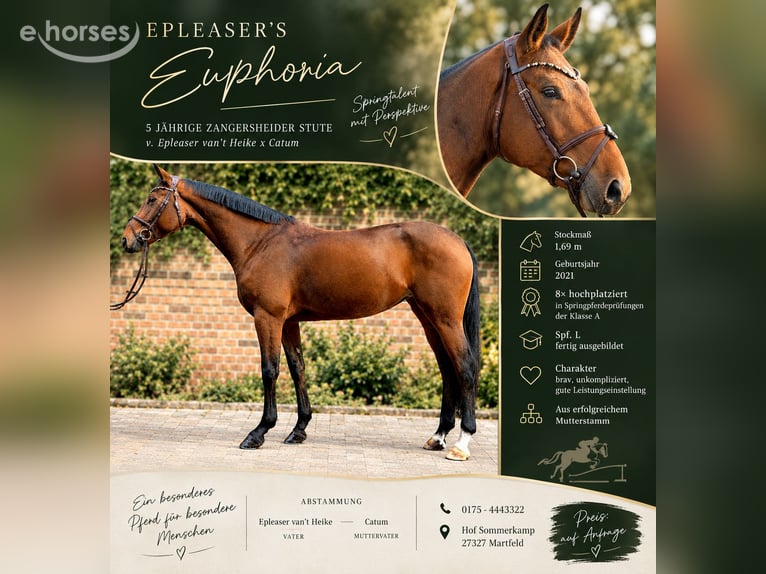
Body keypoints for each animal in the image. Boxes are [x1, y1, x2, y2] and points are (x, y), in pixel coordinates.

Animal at [114, 164, 481, 461]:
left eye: (151, 199)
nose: (127, 239)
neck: (260, 243)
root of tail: (458, 241)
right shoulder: (289, 322)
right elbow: (297, 369)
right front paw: (299, 429)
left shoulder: (268, 317)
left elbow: (270, 371)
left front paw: (259, 432)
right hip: (428, 319)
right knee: (447, 369)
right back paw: (437, 437)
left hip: (445, 319)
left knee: (464, 366)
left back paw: (461, 443)